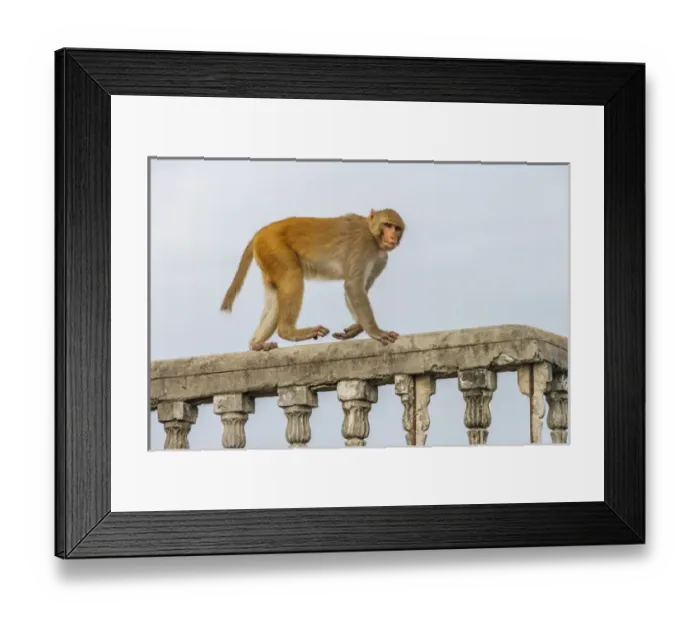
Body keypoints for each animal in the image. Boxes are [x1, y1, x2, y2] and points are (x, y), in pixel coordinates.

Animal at [219, 208, 405, 351]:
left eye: (396, 228)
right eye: (387, 225)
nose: (392, 237)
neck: (373, 236)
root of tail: (260, 233)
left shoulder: (381, 260)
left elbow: (359, 289)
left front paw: (356, 327)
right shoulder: (363, 245)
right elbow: (353, 286)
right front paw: (375, 331)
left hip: (267, 257)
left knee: (276, 294)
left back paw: (256, 344)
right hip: (274, 247)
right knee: (292, 275)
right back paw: (289, 332)